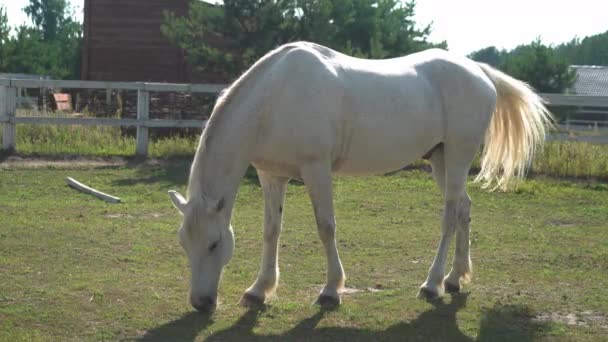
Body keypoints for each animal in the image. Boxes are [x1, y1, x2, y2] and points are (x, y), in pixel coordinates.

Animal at [166, 41, 552, 312]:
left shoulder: (316, 169)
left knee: (448, 216)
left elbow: (326, 227)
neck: (276, 98)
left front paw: (330, 291)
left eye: (214, 243)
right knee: (463, 209)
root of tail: (479, 71)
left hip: (458, 155)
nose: (200, 303)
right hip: (441, 159)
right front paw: (259, 291)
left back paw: (432, 284)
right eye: (183, 243)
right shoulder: (271, 175)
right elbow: (271, 231)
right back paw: (455, 278)